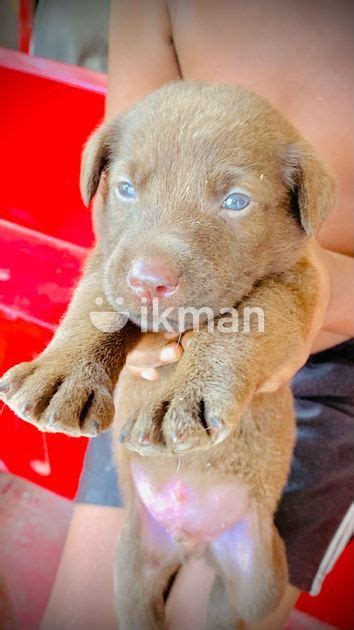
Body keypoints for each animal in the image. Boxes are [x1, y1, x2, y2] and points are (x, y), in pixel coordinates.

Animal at [0, 81, 334, 628]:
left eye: (236, 201)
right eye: (126, 189)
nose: (148, 280)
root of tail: (192, 547)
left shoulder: (297, 286)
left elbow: (240, 323)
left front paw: (184, 399)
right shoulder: (109, 257)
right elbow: (95, 304)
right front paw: (61, 376)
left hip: (256, 585)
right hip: (131, 563)